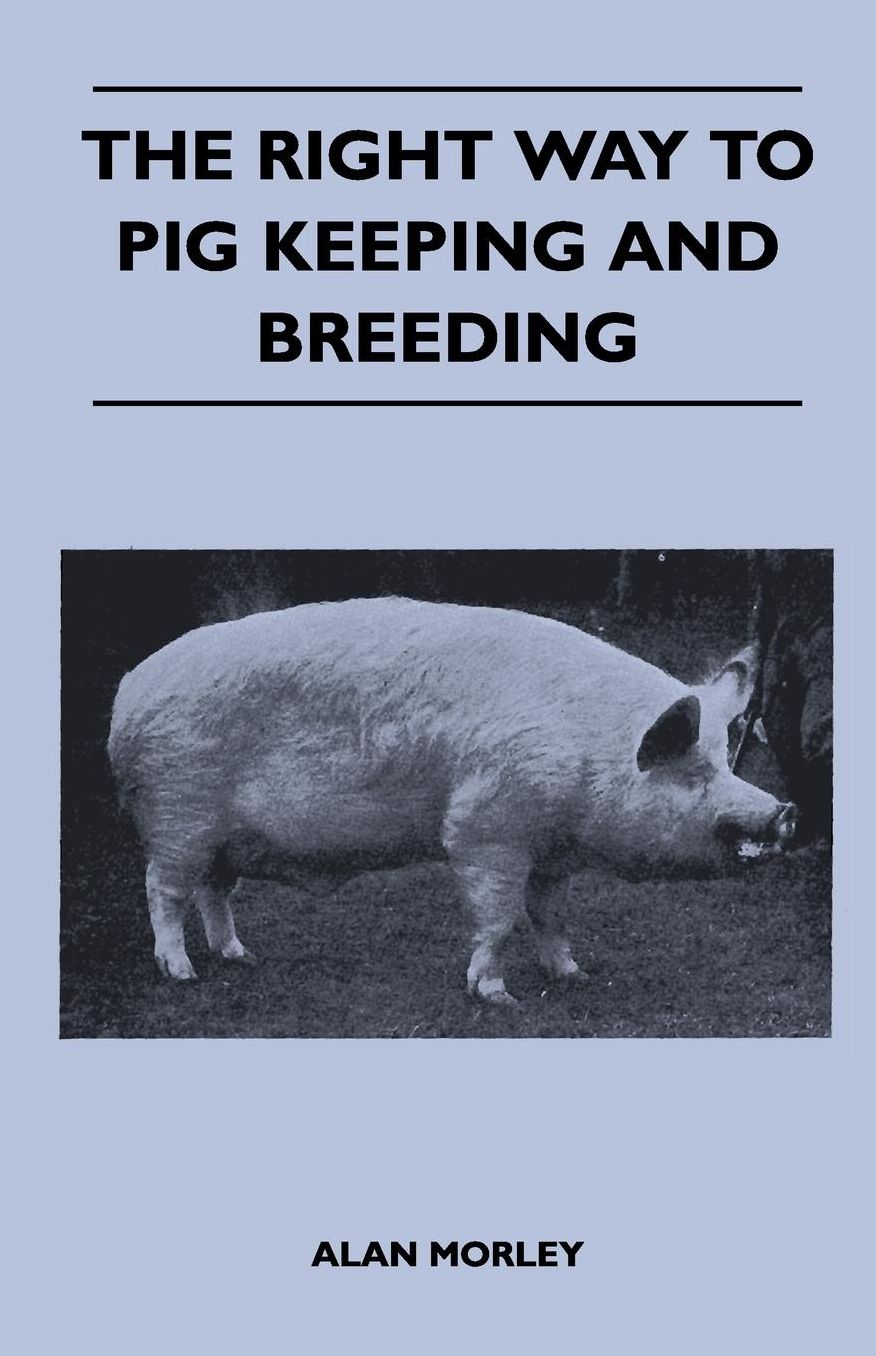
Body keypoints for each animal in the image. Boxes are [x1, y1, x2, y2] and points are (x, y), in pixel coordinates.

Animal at [108, 596, 797, 1004]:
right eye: (693, 771)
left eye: (724, 758)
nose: (784, 811)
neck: (588, 757)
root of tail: (127, 695)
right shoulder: (485, 827)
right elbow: (498, 919)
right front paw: (496, 996)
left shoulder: (551, 853)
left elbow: (550, 917)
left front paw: (574, 974)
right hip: (179, 814)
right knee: (162, 891)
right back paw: (183, 973)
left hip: (220, 838)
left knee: (214, 892)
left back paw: (238, 957)